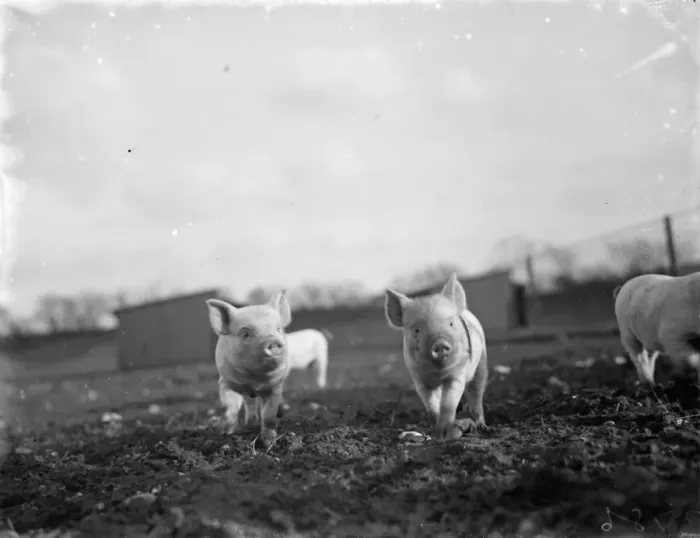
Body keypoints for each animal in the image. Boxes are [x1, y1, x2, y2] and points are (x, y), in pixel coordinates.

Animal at [205, 290, 292, 449]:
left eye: (278, 329)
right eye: (245, 333)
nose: (272, 341)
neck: (254, 380)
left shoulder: (274, 387)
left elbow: (269, 416)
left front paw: (268, 443)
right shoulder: (225, 382)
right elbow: (229, 407)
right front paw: (228, 432)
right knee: (248, 404)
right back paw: (249, 424)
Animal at [384, 273, 489, 441]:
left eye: (451, 324)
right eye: (416, 330)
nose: (439, 343)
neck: (438, 372)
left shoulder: (457, 374)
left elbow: (448, 403)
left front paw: (444, 434)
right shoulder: (420, 380)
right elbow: (431, 405)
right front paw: (435, 433)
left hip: (481, 365)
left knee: (476, 393)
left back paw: (481, 426)